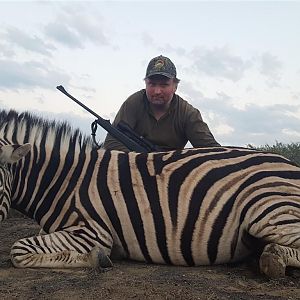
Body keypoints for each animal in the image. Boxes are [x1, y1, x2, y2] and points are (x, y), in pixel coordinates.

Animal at [0, 108, 298, 278]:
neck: (65, 180)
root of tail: (290, 163)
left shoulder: (92, 231)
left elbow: (18, 249)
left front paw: (97, 258)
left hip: (268, 212)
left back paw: (273, 259)